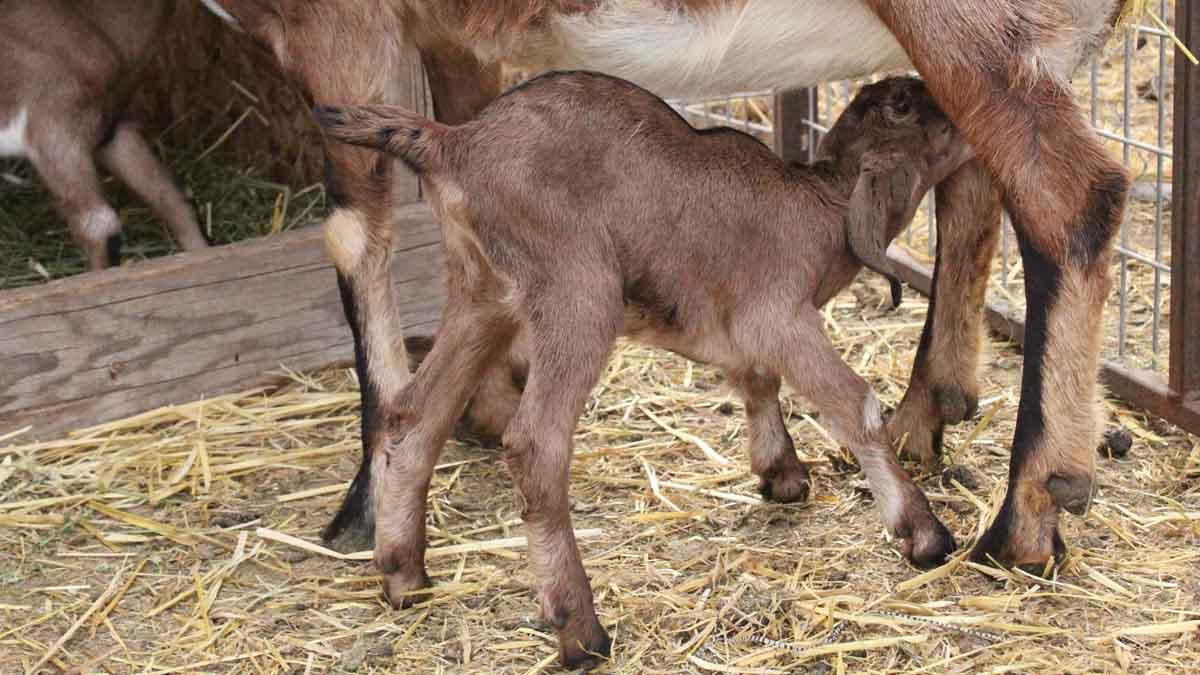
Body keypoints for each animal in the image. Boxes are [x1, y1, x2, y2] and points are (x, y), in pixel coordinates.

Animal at [321, 74, 974, 667]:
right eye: (909, 108)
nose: (968, 122)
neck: (819, 205)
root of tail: (455, 143)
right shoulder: (779, 314)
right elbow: (854, 405)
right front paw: (922, 532)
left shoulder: (742, 325)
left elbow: (757, 379)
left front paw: (780, 474)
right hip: (577, 290)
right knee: (534, 445)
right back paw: (579, 631)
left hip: (483, 296)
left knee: (415, 414)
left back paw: (403, 573)